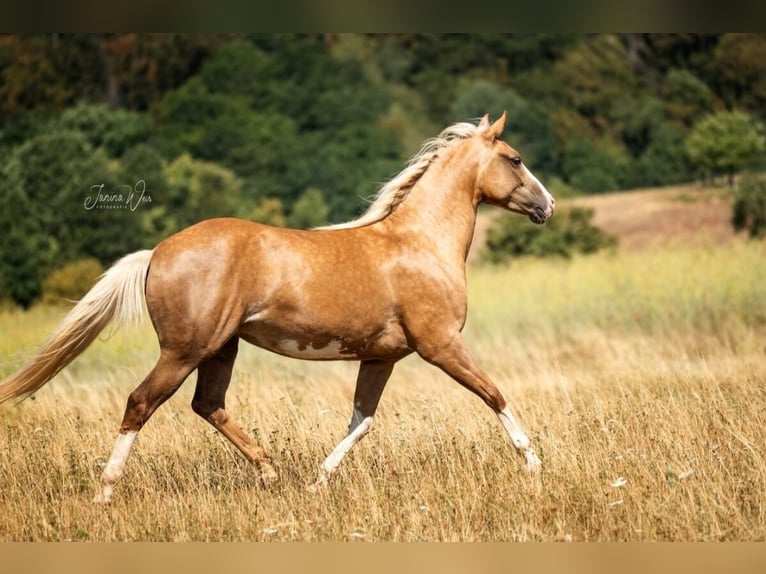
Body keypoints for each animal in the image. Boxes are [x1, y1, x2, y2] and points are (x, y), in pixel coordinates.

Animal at [0, 112, 555, 502]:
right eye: (516, 158)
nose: (547, 206)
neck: (419, 243)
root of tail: (156, 253)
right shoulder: (440, 345)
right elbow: (494, 394)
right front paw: (534, 465)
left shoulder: (381, 357)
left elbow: (361, 421)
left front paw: (317, 482)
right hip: (185, 350)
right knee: (141, 403)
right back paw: (106, 491)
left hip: (220, 349)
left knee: (208, 405)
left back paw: (270, 473)